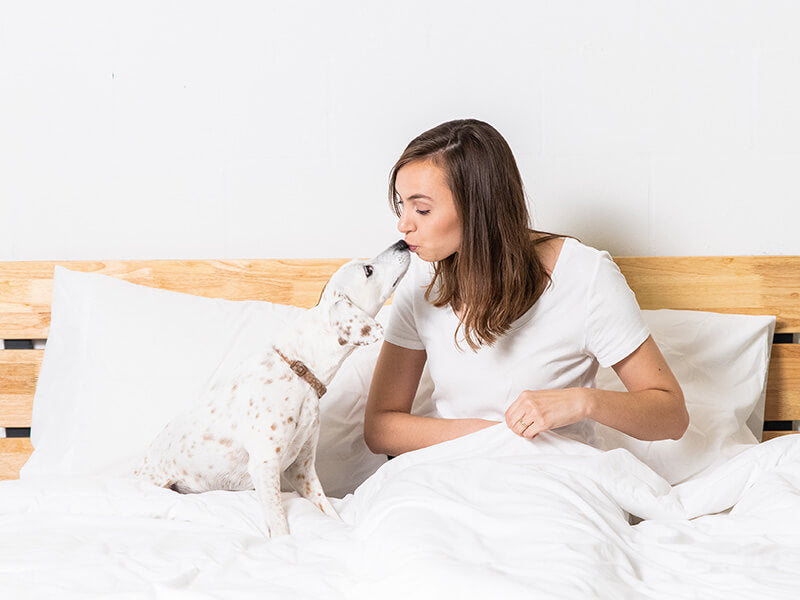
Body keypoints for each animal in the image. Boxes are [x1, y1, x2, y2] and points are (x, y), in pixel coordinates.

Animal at [134, 241, 410, 536]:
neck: (298, 370)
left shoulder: (302, 469)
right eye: (368, 270)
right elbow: (279, 526)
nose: (402, 242)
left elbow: (328, 511)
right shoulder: (265, 465)